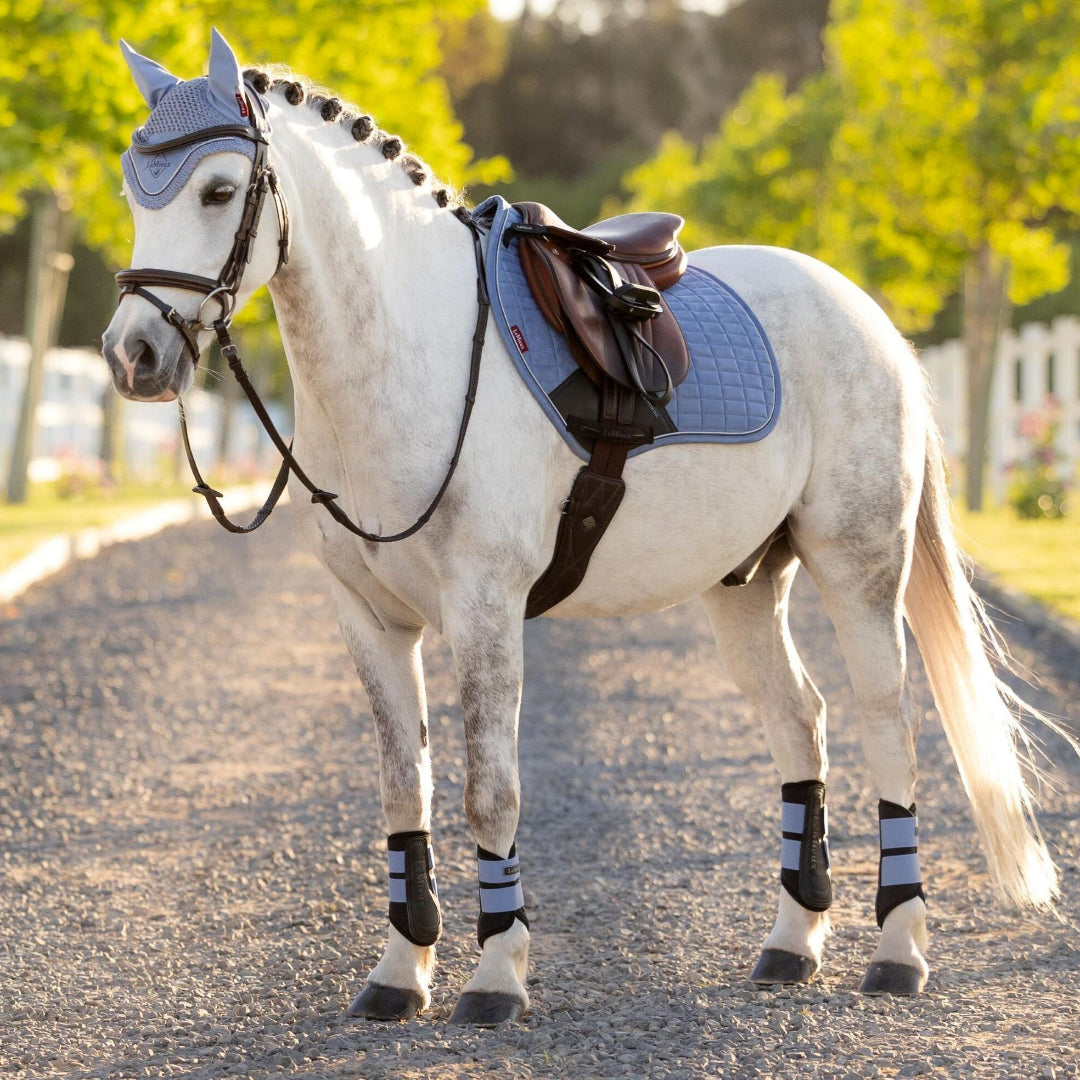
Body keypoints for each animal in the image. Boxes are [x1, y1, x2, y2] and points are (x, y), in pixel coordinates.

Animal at [102, 30, 1065, 1025]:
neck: (416, 355)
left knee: (889, 725)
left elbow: (490, 794)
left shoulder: (484, 610)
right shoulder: (368, 620)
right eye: (133, 190)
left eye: (219, 191)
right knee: (803, 722)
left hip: (860, 568)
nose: (134, 356)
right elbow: (404, 789)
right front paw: (400, 972)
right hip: (746, 584)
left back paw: (899, 951)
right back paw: (792, 943)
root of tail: (868, 316)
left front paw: (495, 975)